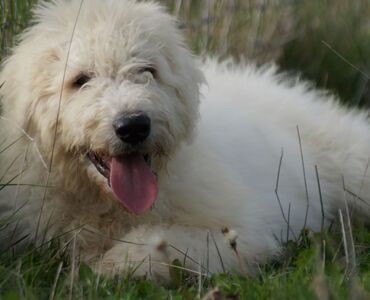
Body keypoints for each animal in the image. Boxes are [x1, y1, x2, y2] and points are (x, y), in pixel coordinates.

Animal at [0, 0, 368, 278]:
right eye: (80, 80)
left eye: (148, 70)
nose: (133, 126)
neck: (108, 205)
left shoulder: (244, 230)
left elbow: (168, 243)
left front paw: (112, 264)